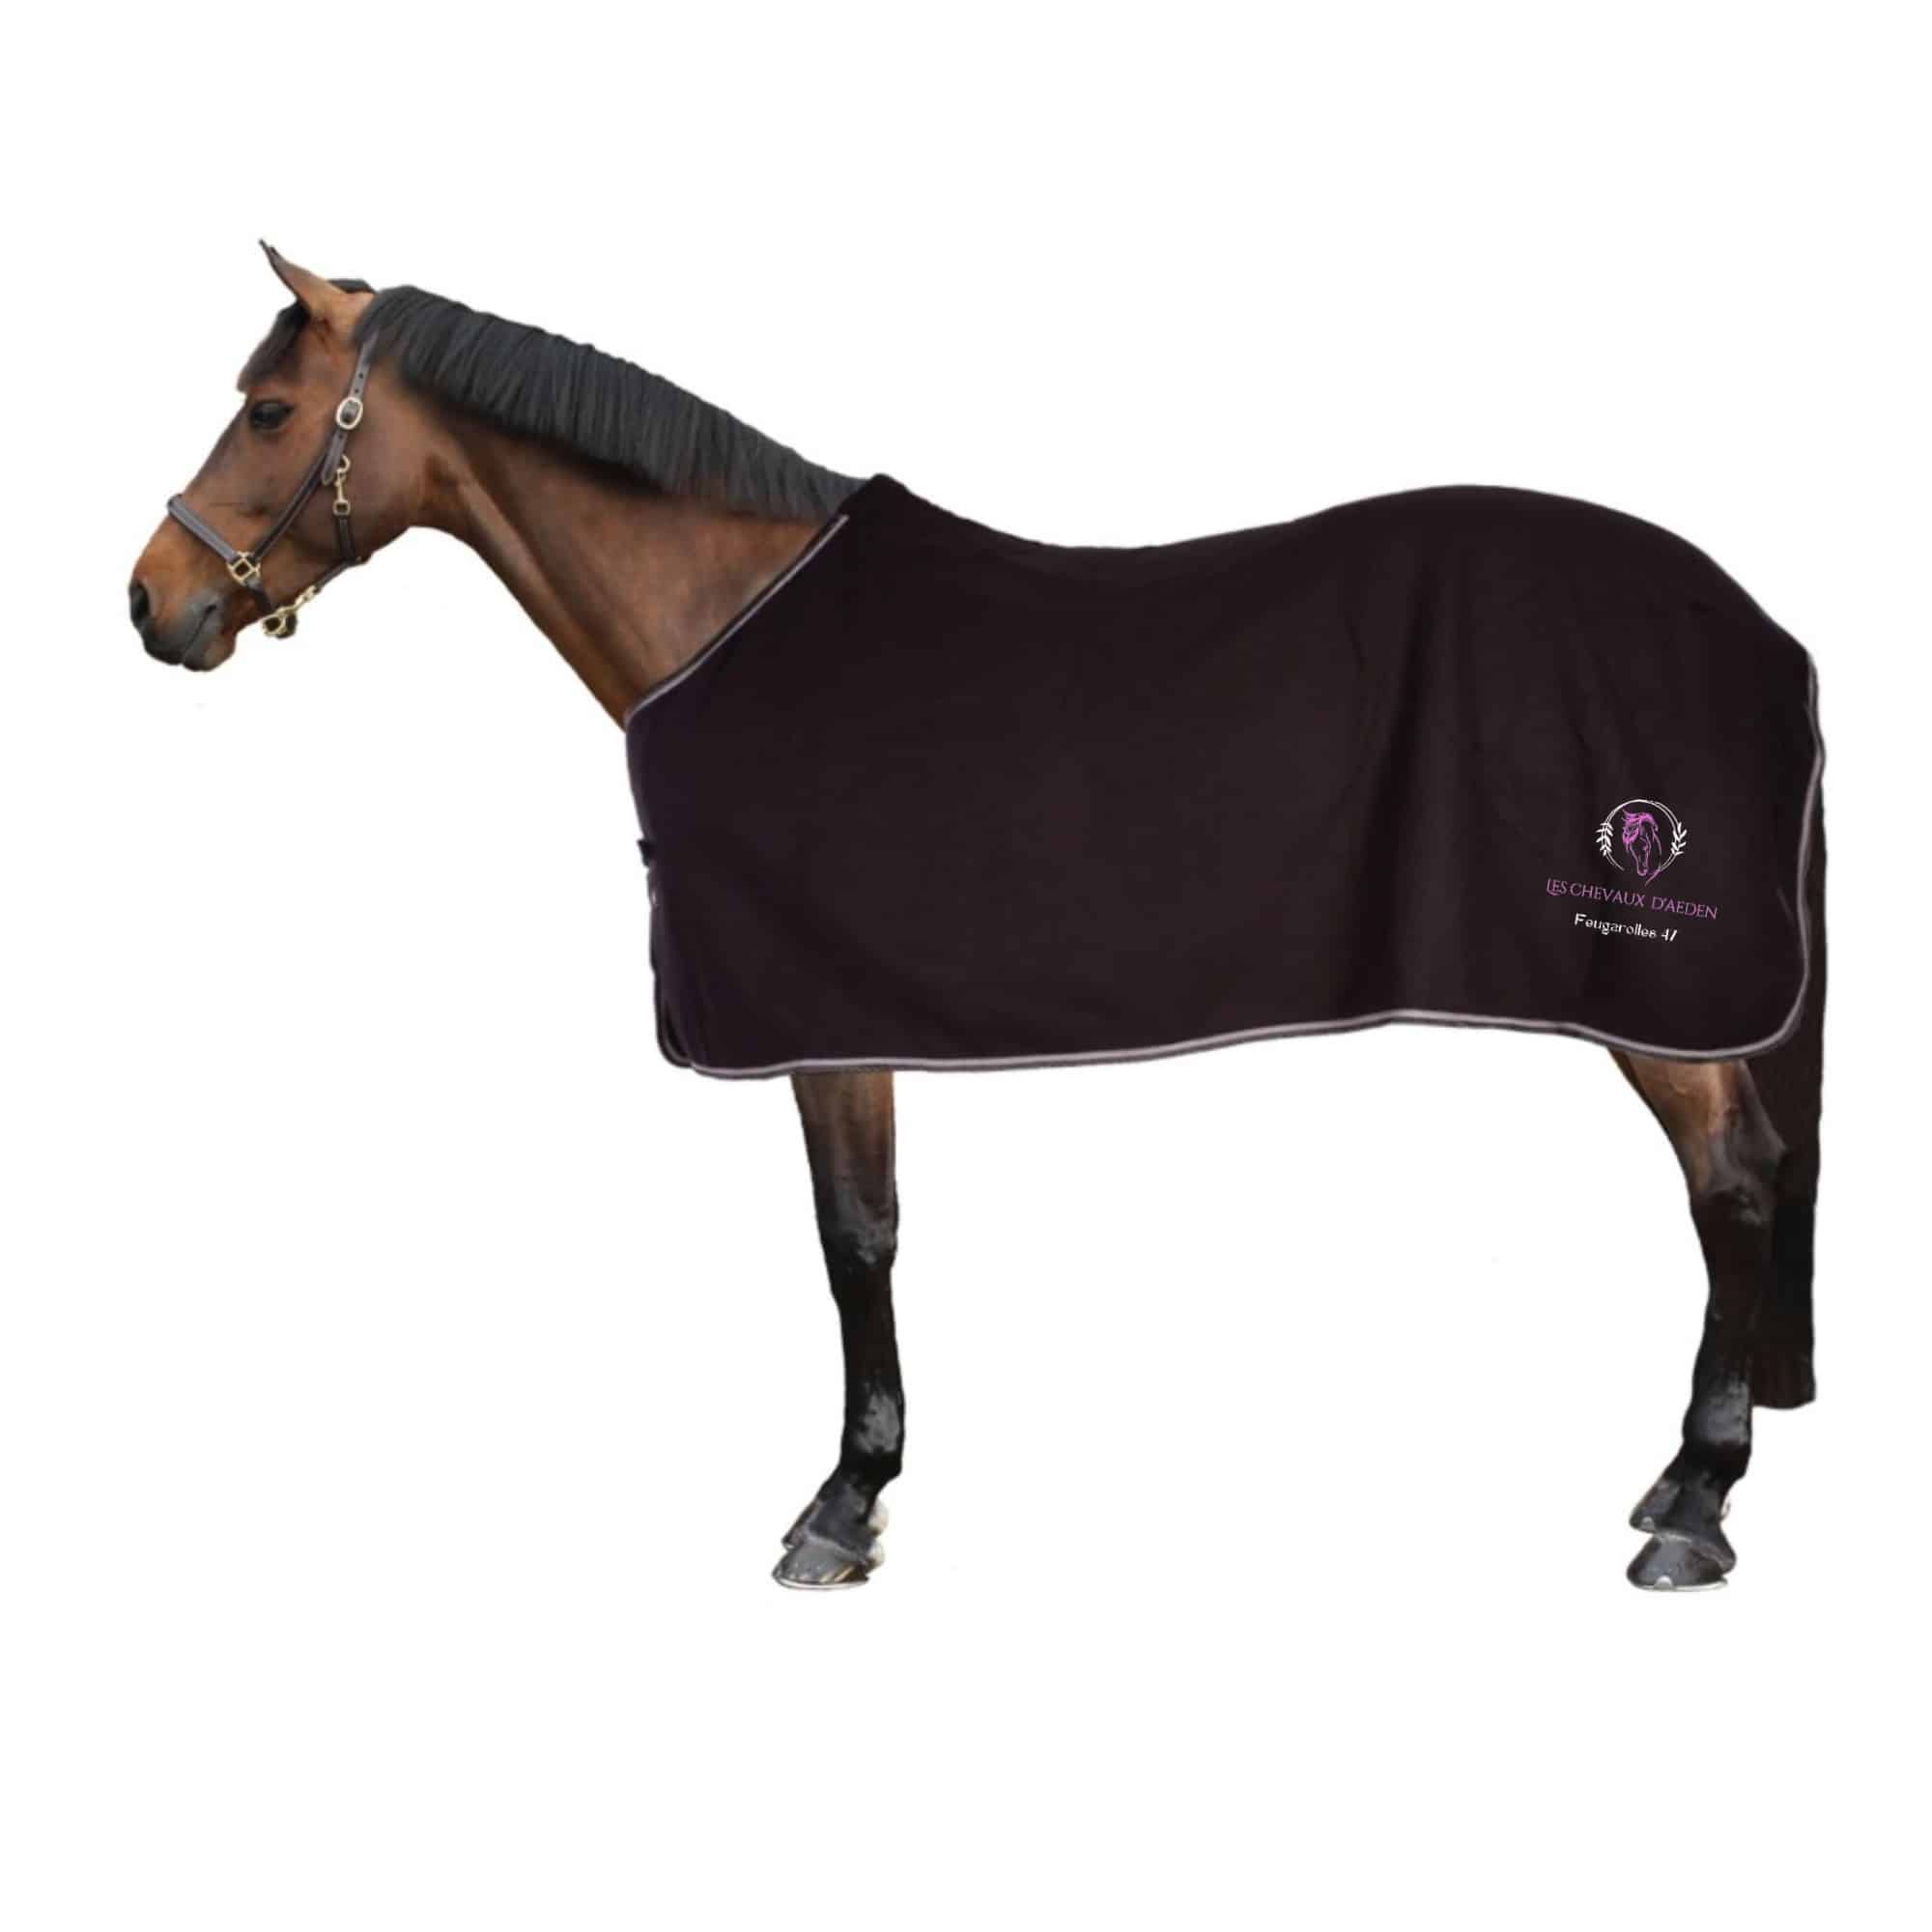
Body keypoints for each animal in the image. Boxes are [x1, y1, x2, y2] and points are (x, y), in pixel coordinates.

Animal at [129, 246, 1826, 1593]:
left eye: (269, 412)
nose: (151, 603)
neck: (733, 617)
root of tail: (1755, 626)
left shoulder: (822, 1016)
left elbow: (855, 1240)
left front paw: (842, 1505)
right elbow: (866, 1234)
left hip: (1653, 992)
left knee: (1734, 1182)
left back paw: (1696, 1506)